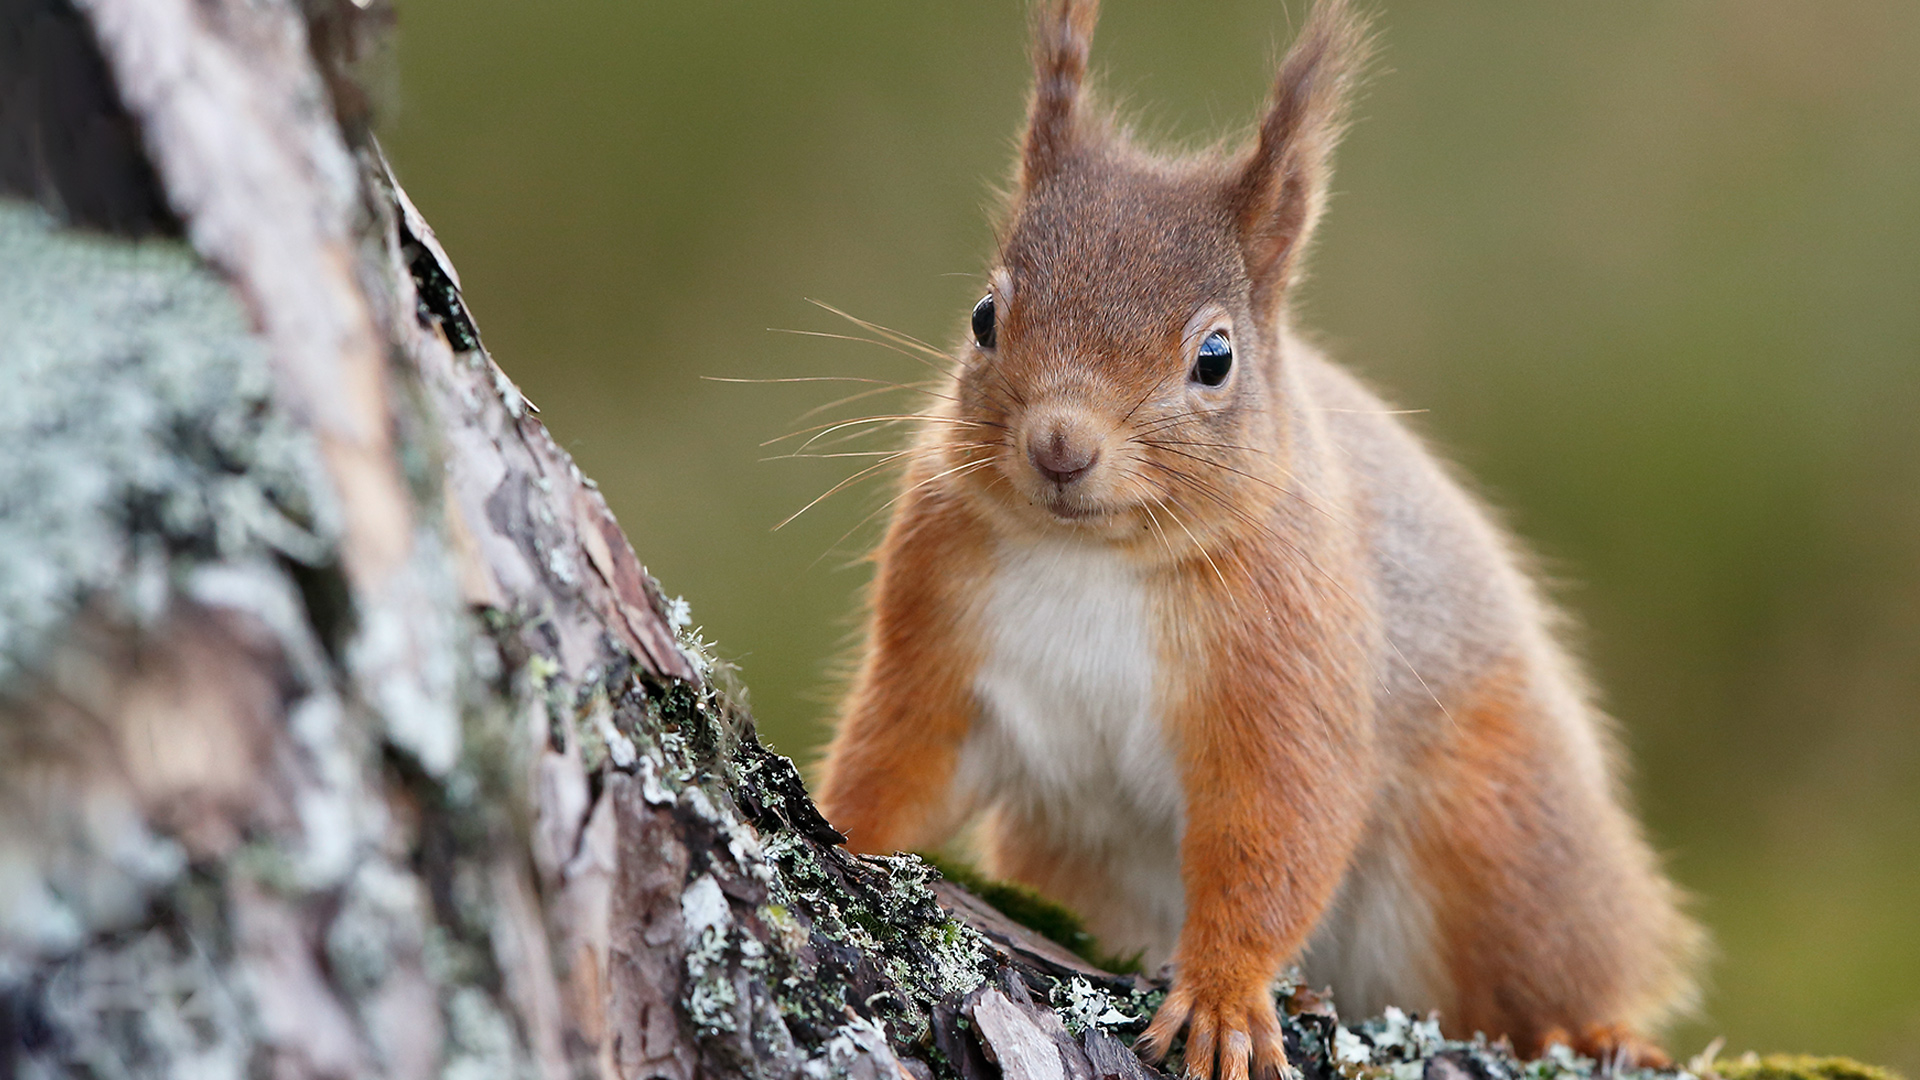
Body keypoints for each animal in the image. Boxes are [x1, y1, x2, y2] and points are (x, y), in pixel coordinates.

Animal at [810, 4, 1697, 1068]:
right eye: (984, 317)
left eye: (1215, 358)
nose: (1060, 443)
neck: (1094, 558)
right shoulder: (938, 622)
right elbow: (897, 761)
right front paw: (835, 825)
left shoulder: (1288, 663)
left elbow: (1278, 831)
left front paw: (1226, 997)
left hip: (1501, 838)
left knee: (1553, 968)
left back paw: (1594, 1024)